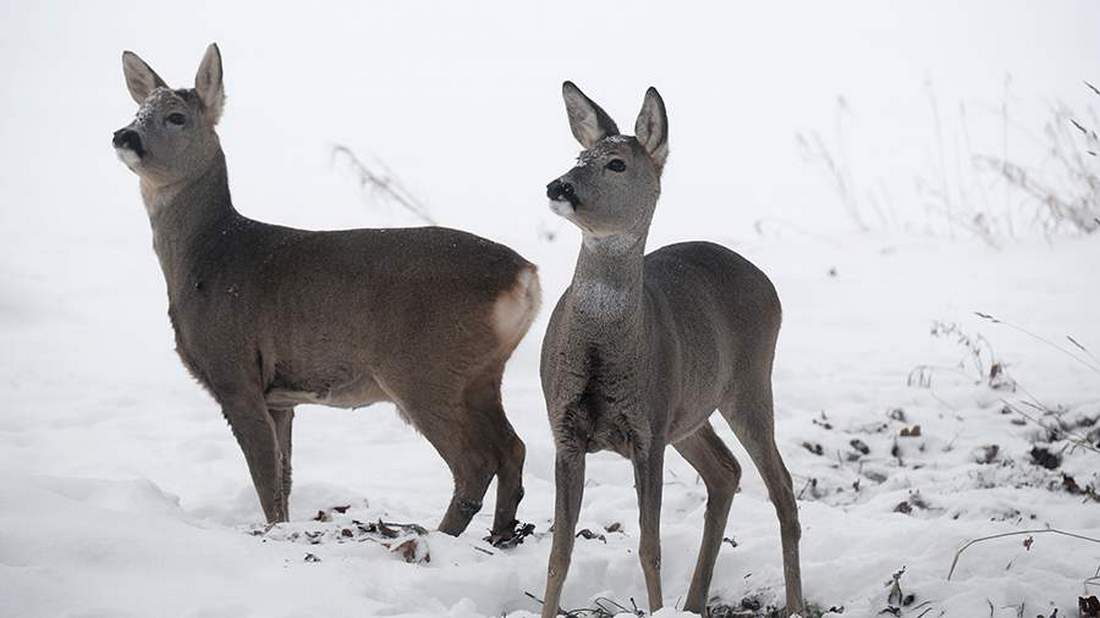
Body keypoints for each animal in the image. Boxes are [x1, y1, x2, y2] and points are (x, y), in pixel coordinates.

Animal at [111, 43, 541, 536]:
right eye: (137, 110)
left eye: (176, 116)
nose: (124, 136)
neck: (208, 258)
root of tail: (525, 275)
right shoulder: (281, 398)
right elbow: (284, 476)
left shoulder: (234, 372)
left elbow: (264, 475)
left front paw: (272, 534)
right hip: (482, 372)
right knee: (513, 448)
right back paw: (501, 535)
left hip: (423, 368)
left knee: (475, 462)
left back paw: (439, 535)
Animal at [541, 80, 809, 611]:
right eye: (579, 154)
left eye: (616, 163)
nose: (558, 186)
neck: (601, 348)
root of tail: (768, 284)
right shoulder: (565, 429)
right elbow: (559, 552)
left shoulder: (649, 429)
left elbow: (651, 547)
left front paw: (656, 608)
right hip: (690, 413)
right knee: (725, 471)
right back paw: (692, 603)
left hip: (749, 383)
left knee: (783, 486)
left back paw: (793, 606)